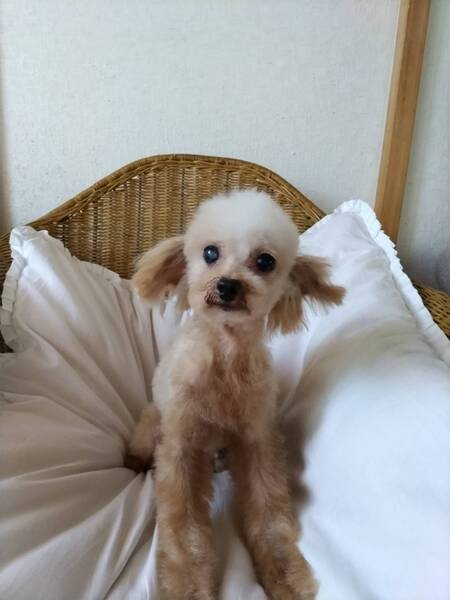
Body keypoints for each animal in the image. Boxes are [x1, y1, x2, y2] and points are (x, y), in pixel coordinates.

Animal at [125, 190, 345, 599]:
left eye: (265, 261)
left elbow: (269, 513)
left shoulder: (258, 442)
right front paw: (188, 587)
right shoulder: (182, 448)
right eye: (210, 252)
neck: (224, 360)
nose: (228, 285)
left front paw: (285, 577)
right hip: (152, 425)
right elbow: (184, 529)